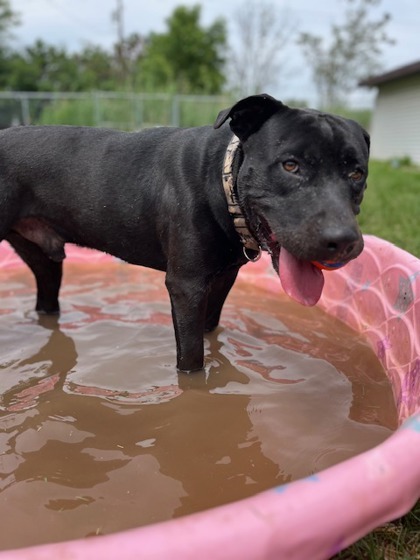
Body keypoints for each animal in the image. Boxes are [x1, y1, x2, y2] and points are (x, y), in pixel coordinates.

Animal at [0, 93, 368, 372]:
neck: (222, 182)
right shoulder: (187, 287)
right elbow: (190, 360)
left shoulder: (221, 280)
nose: (343, 242)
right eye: (290, 165)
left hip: (44, 260)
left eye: (357, 173)